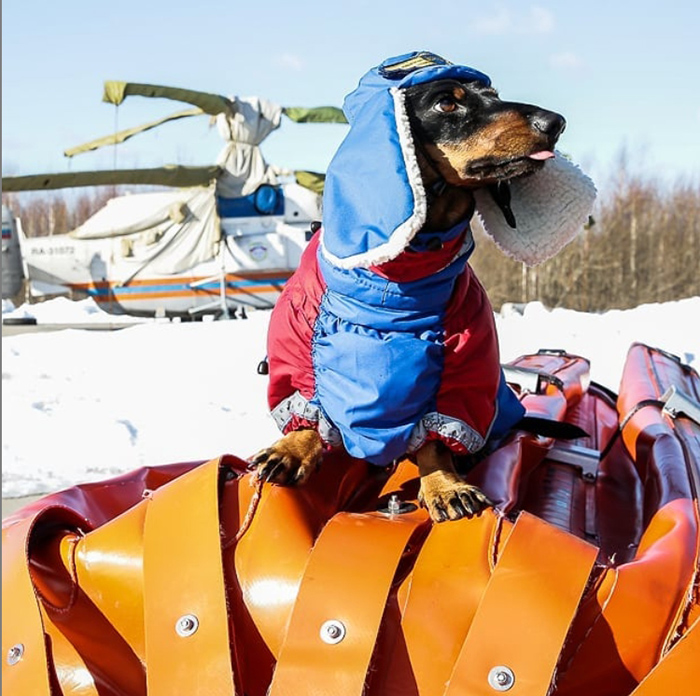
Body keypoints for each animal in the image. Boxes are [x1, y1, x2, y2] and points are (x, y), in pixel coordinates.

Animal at [252, 50, 580, 520]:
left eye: (493, 94)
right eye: (447, 102)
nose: (555, 122)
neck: (397, 282)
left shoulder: (466, 359)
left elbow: (436, 439)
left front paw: (444, 484)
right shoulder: (296, 335)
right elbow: (307, 405)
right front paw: (293, 449)